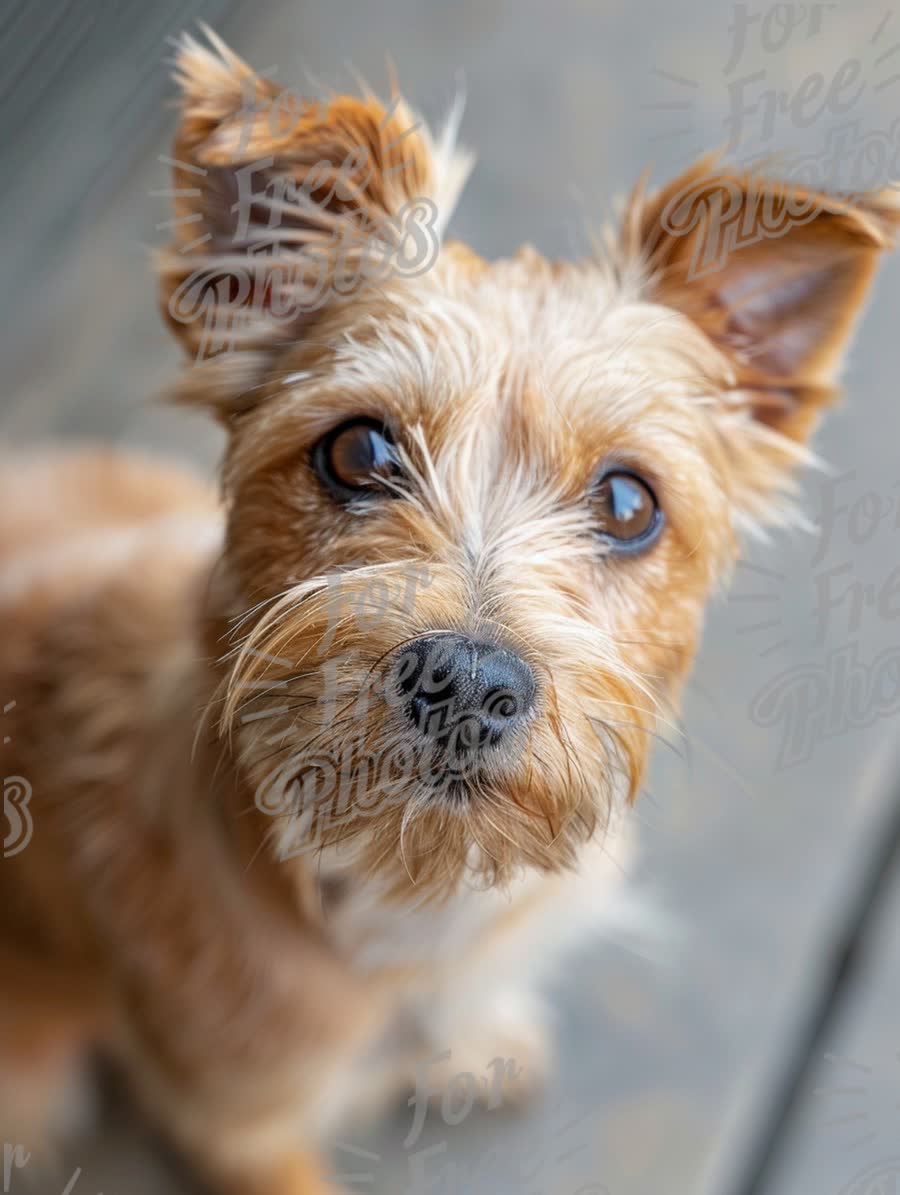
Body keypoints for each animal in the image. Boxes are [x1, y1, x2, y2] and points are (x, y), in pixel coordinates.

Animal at [1, 28, 898, 1195]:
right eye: (358, 449)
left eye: (629, 502)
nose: (467, 681)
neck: (408, 897)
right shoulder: (233, 1120)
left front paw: (474, 1042)